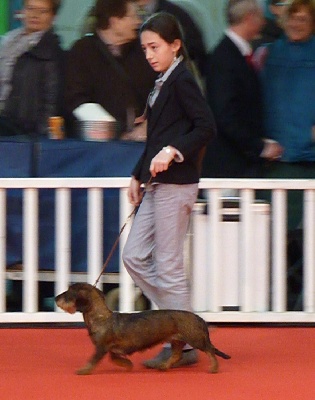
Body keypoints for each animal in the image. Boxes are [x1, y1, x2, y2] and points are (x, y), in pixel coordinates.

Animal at [55, 282, 231, 374]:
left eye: (68, 293)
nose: (56, 298)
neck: (101, 318)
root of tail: (199, 318)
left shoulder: (101, 347)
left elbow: (93, 360)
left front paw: (84, 370)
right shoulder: (111, 349)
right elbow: (116, 358)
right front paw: (128, 365)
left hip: (195, 339)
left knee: (210, 350)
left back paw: (214, 367)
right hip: (176, 341)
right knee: (176, 356)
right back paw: (163, 366)